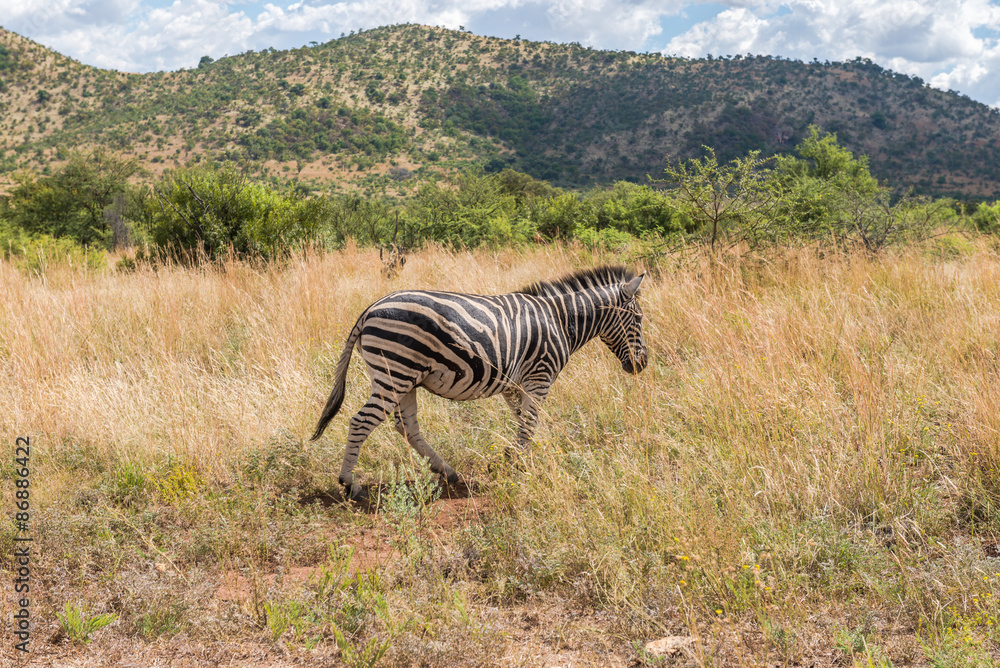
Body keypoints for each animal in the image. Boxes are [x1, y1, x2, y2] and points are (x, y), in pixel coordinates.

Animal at [311, 265, 648, 500]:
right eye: (638, 319)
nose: (641, 365)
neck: (561, 321)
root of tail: (369, 309)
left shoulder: (516, 384)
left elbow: (522, 422)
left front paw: (517, 458)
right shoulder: (540, 376)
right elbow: (529, 423)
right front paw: (520, 464)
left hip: (404, 379)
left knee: (407, 428)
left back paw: (446, 471)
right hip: (397, 372)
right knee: (361, 422)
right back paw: (350, 485)